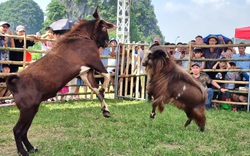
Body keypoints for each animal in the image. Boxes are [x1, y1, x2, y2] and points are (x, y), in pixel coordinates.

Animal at [6, 7, 115, 156]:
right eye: (103, 27)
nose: (107, 42)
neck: (81, 37)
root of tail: (14, 82)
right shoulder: (94, 61)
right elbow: (106, 76)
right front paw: (104, 91)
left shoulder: (85, 72)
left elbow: (96, 90)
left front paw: (105, 110)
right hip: (27, 109)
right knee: (17, 130)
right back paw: (24, 151)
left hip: (31, 108)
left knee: (23, 130)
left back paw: (32, 148)